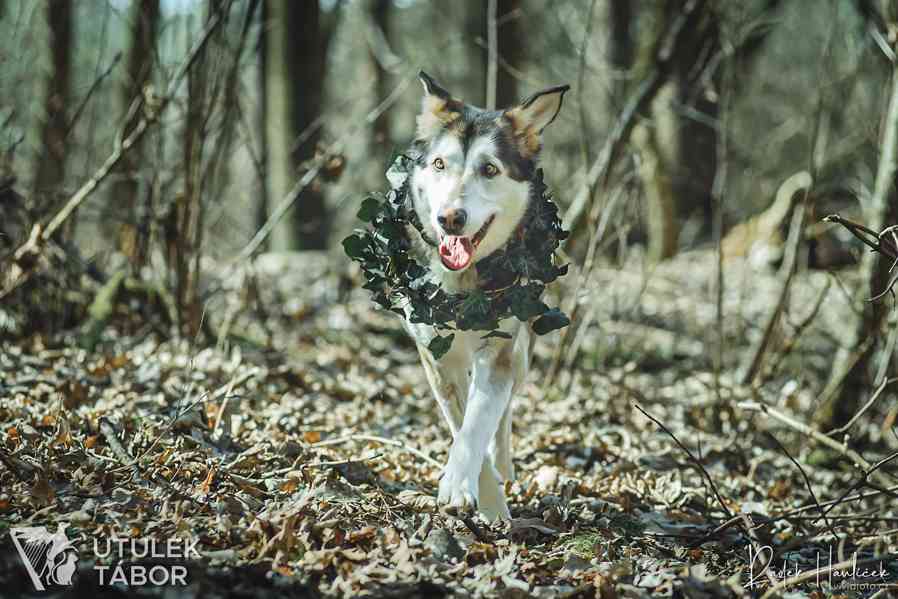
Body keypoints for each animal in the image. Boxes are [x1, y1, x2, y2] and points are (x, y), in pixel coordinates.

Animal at [404, 69, 572, 520]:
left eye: (490, 169)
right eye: (440, 164)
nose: (449, 218)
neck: (463, 286)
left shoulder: (498, 350)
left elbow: (478, 424)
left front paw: (474, 493)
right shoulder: (436, 359)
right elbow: (460, 422)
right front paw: (481, 494)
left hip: (522, 352)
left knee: (505, 412)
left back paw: (505, 466)